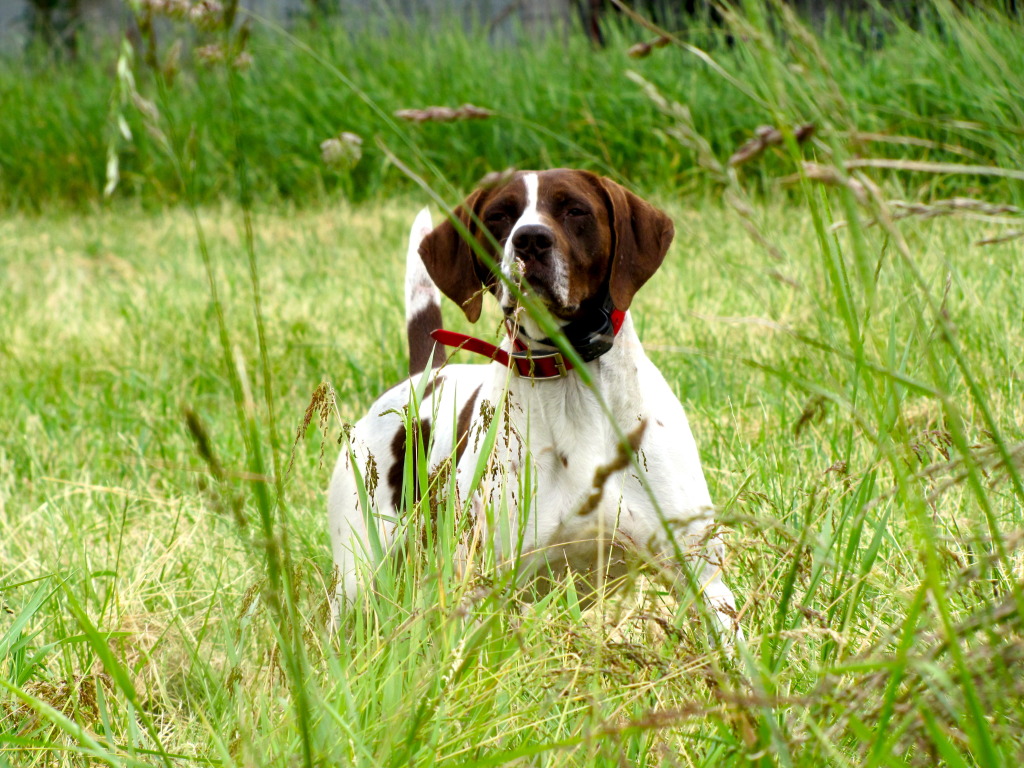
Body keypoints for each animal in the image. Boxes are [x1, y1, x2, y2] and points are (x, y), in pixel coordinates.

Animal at [331, 171, 741, 638]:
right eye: (498, 215)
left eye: (575, 209)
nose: (529, 239)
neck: (572, 378)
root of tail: (423, 375)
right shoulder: (485, 590)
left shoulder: (703, 579)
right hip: (356, 582)